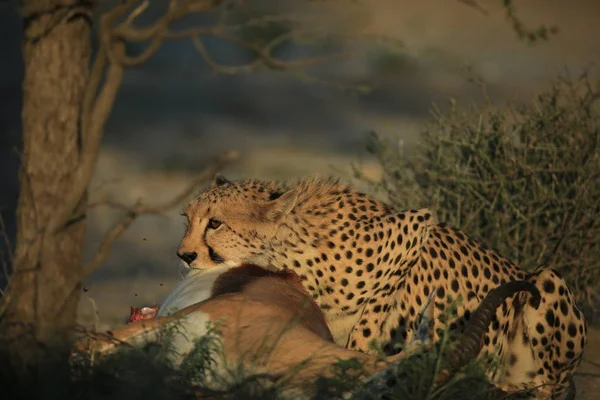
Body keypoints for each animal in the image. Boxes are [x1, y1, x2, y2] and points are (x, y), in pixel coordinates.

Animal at [177, 177, 584, 398]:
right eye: (187, 218)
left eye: (215, 223)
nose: (184, 255)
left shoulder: (415, 227)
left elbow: (371, 321)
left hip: (547, 280)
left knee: (549, 387)